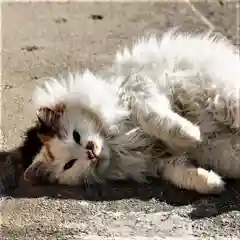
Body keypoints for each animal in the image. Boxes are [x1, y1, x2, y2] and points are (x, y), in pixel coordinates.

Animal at [23, 29, 240, 195]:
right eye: (69, 164)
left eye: (76, 136)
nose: (91, 152)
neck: (120, 143)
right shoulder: (160, 161)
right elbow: (182, 173)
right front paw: (213, 184)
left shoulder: (138, 89)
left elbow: (156, 118)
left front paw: (192, 134)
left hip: (223, 97)